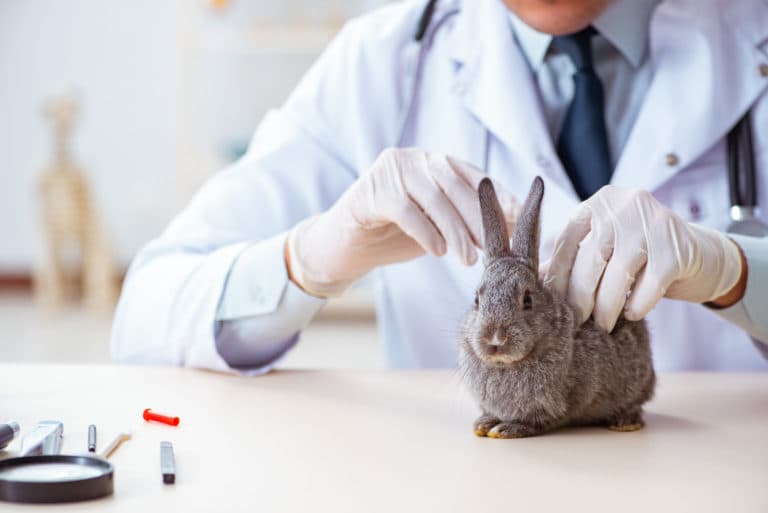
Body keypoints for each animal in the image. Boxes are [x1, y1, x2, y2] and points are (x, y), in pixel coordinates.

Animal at [458, 176, 655, 439]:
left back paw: (625, 422)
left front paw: (507, 429)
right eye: (476, 300)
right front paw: (484, 423)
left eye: (527, 300)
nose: (495, 339)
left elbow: (543, 420)